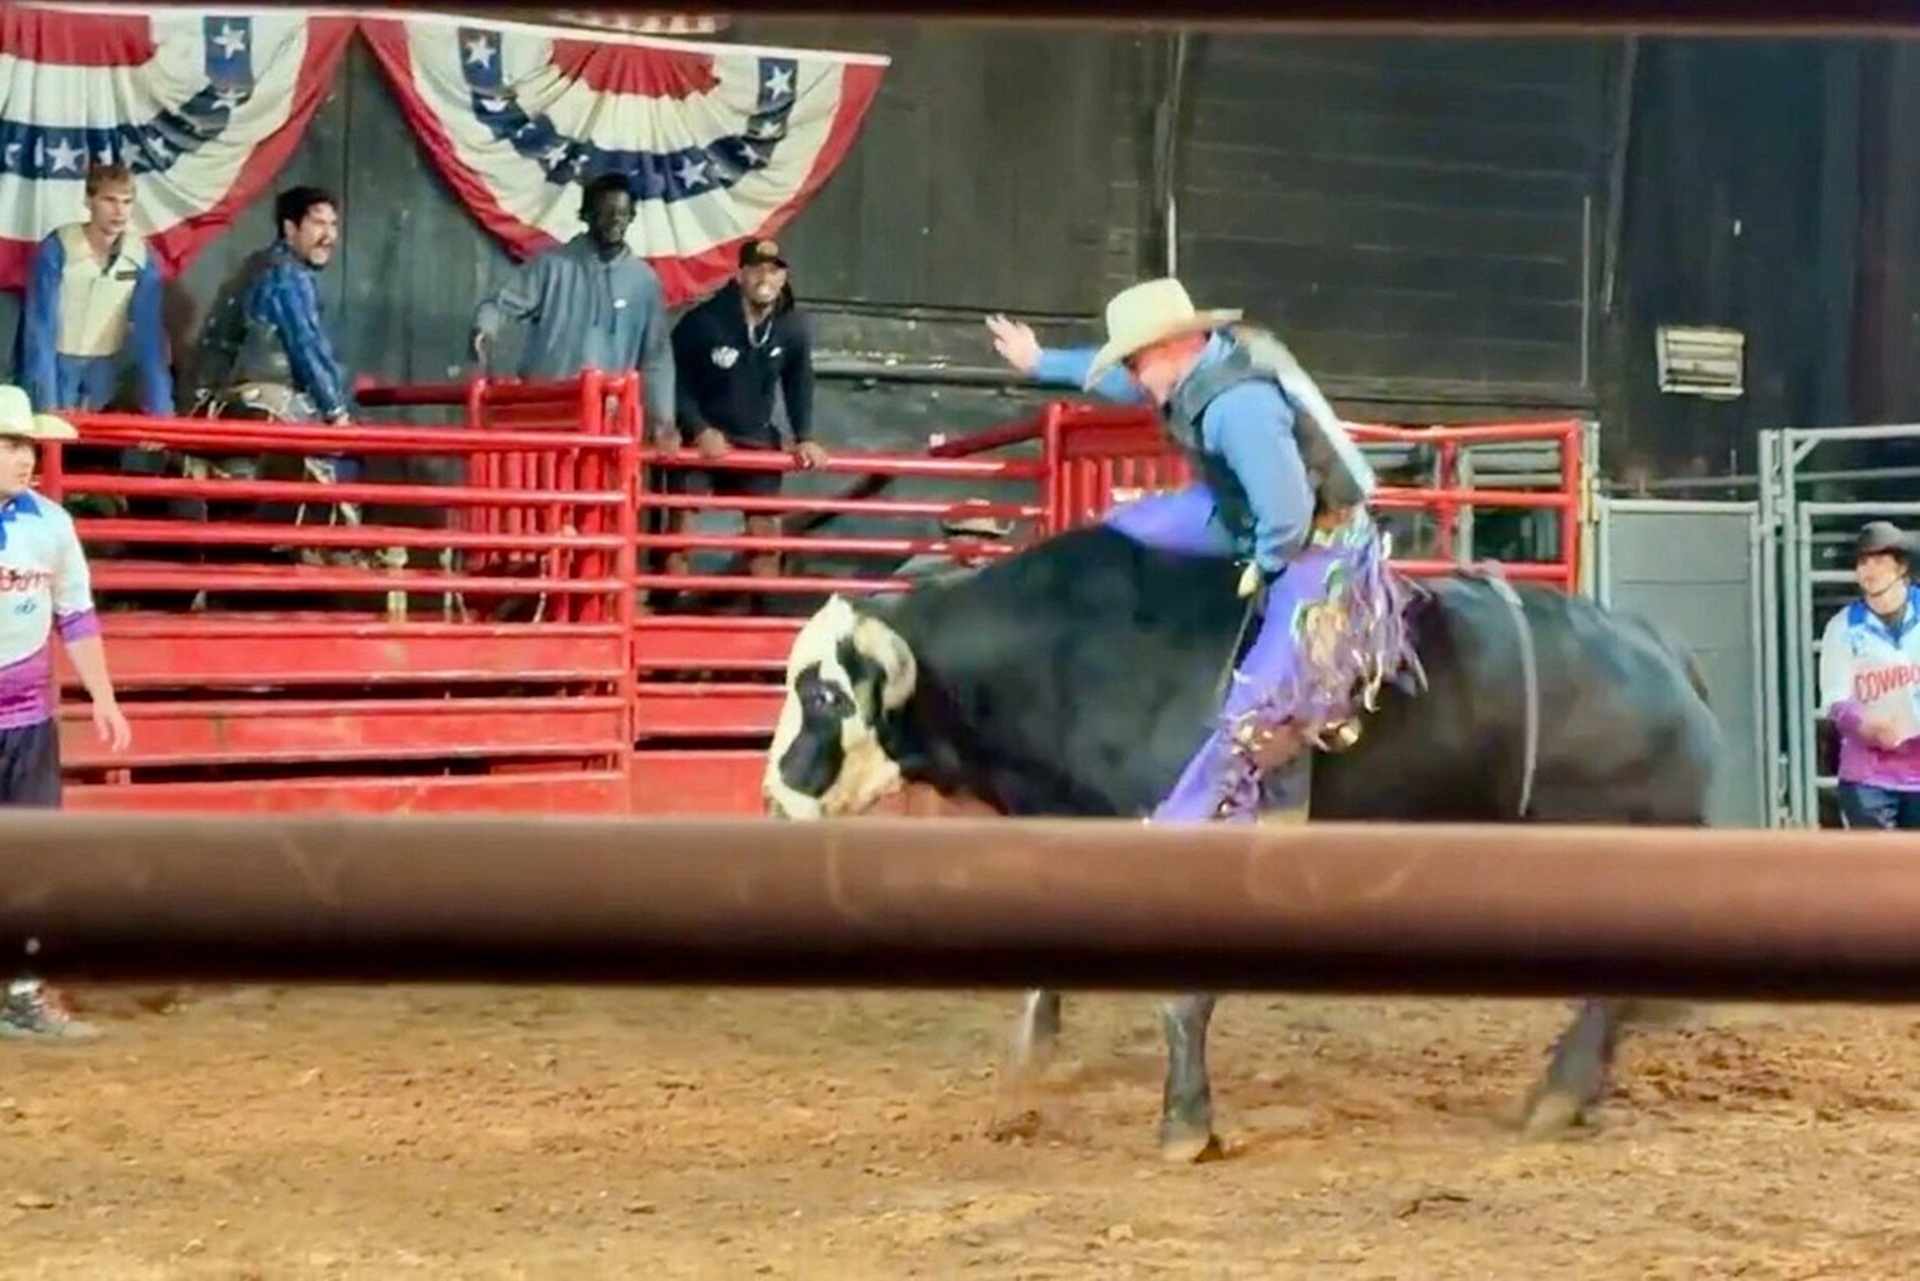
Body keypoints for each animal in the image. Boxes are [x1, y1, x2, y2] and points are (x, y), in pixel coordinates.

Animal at [762, 520, 1723, 1162]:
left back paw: (1557, 1095)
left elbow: (1183, 999)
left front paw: (1185, 1122)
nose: (773, 797)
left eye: (824, 693)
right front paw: (1032, 1058)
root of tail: (1661, 651)